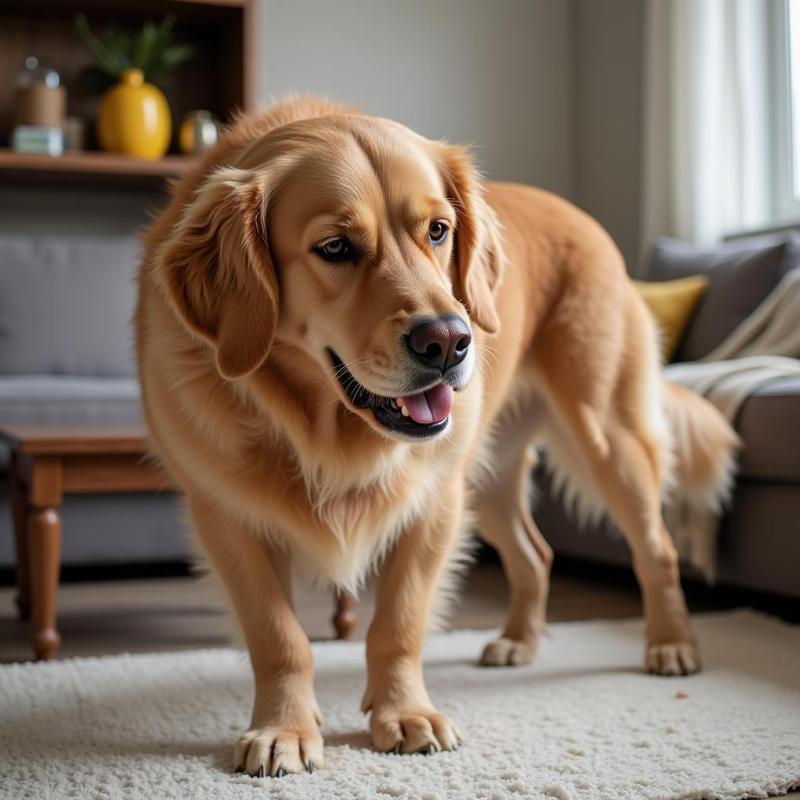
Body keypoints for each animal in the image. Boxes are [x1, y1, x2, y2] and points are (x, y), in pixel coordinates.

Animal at [136, 97, 736, 780]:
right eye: (335, 246)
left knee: (656, 549)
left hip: (606, 435)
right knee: (537, 554)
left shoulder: (432, 504)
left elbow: (398, 623)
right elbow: (279, 637)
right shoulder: (225, 515)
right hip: (492, 481)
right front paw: (284, 729)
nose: (450, 341)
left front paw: (404, 715)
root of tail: (584, 218)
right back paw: (520, 641)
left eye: (439, 231)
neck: (320, 425)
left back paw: (671, 644)